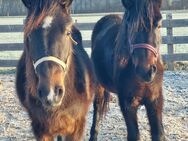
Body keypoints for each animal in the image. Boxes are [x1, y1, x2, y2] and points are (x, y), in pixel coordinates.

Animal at [89, 0, 164, 141]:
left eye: (158, 24)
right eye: (130, 25)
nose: (145, 70)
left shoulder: (155, 102)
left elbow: (159, 134)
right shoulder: (128, 103)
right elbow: (134, 135)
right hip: (99, 85)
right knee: (97, 107)